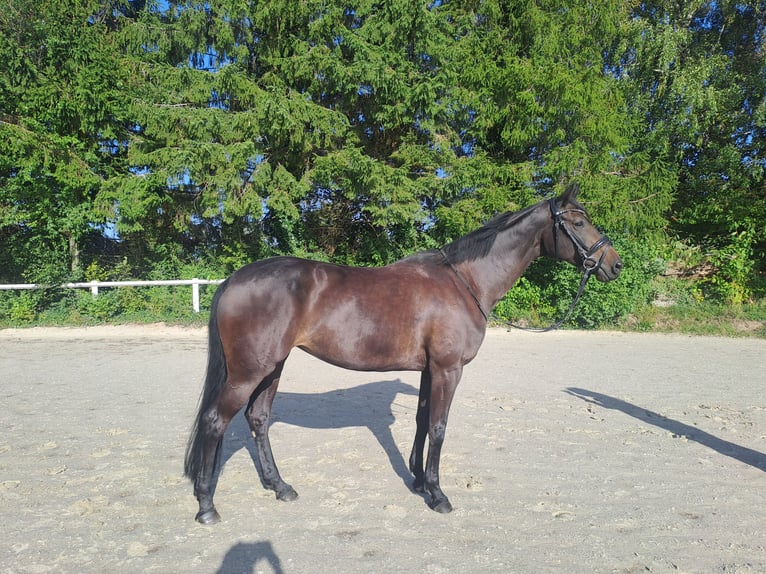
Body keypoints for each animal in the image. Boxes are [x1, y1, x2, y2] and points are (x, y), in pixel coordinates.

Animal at [184, 182, 622, 524]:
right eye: (578, 222)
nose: (614, 265)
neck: (464, 282)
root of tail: (234, 280)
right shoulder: (448, 369)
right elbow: (439, 427)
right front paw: (438, 495)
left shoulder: (430, 370)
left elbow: (422, 420)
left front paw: (417, 481)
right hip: (248, 372)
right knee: (214, 421)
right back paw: (206, 506)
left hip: (272, 368)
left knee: (258, 420)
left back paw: (280, 487)